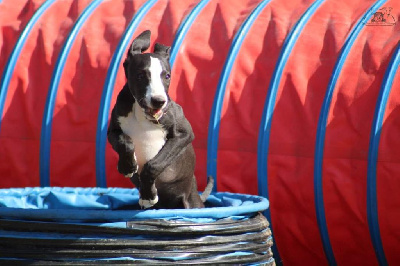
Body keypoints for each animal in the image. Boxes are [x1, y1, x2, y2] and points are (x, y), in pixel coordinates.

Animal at [106, 30, 212, 210]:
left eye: (167, 76)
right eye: (140, 75)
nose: (158, 101)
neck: (141, 113)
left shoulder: (184, 134)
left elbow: (154, 164)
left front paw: (148, 196)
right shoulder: (113, 130)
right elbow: (125, 142)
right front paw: (127, 166)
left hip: (192, 203)